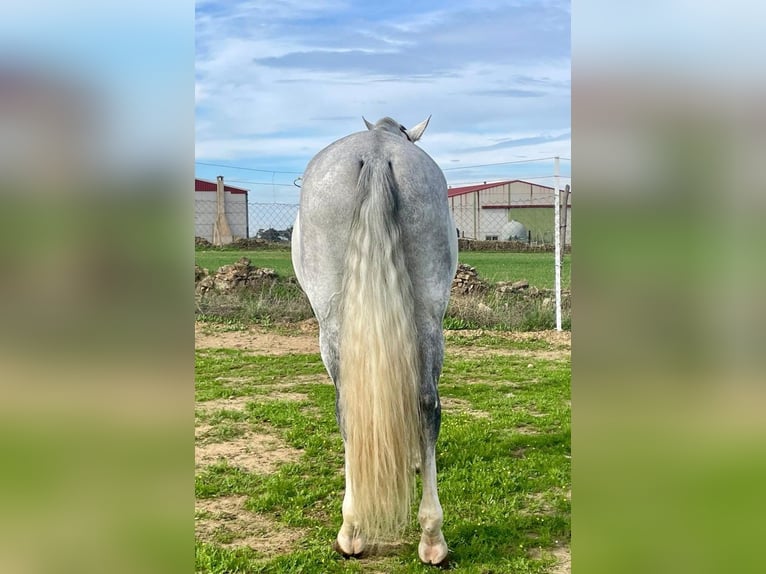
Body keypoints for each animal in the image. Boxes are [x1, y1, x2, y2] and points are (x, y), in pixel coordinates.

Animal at [292, 117, 456, 568]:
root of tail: (378, 152)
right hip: (429, 312)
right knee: (426, 402)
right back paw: (431, 538)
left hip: (331, 323)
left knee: (350, 407)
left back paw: (353, 531)